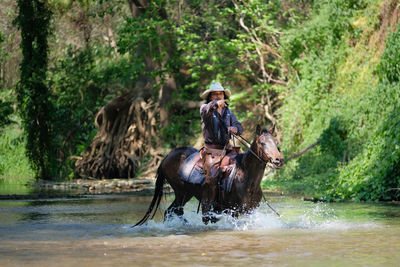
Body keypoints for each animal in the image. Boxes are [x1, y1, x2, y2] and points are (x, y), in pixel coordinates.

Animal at [134, 125, 284, 226]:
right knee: (177, 212)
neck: (246, 178)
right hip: (181, 192)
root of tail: (167, 157)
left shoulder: (250, 211)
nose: (279, 160)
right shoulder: (234, 211)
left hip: (186, 194)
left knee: (172, 211)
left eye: (276, 143)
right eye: (262, 143)